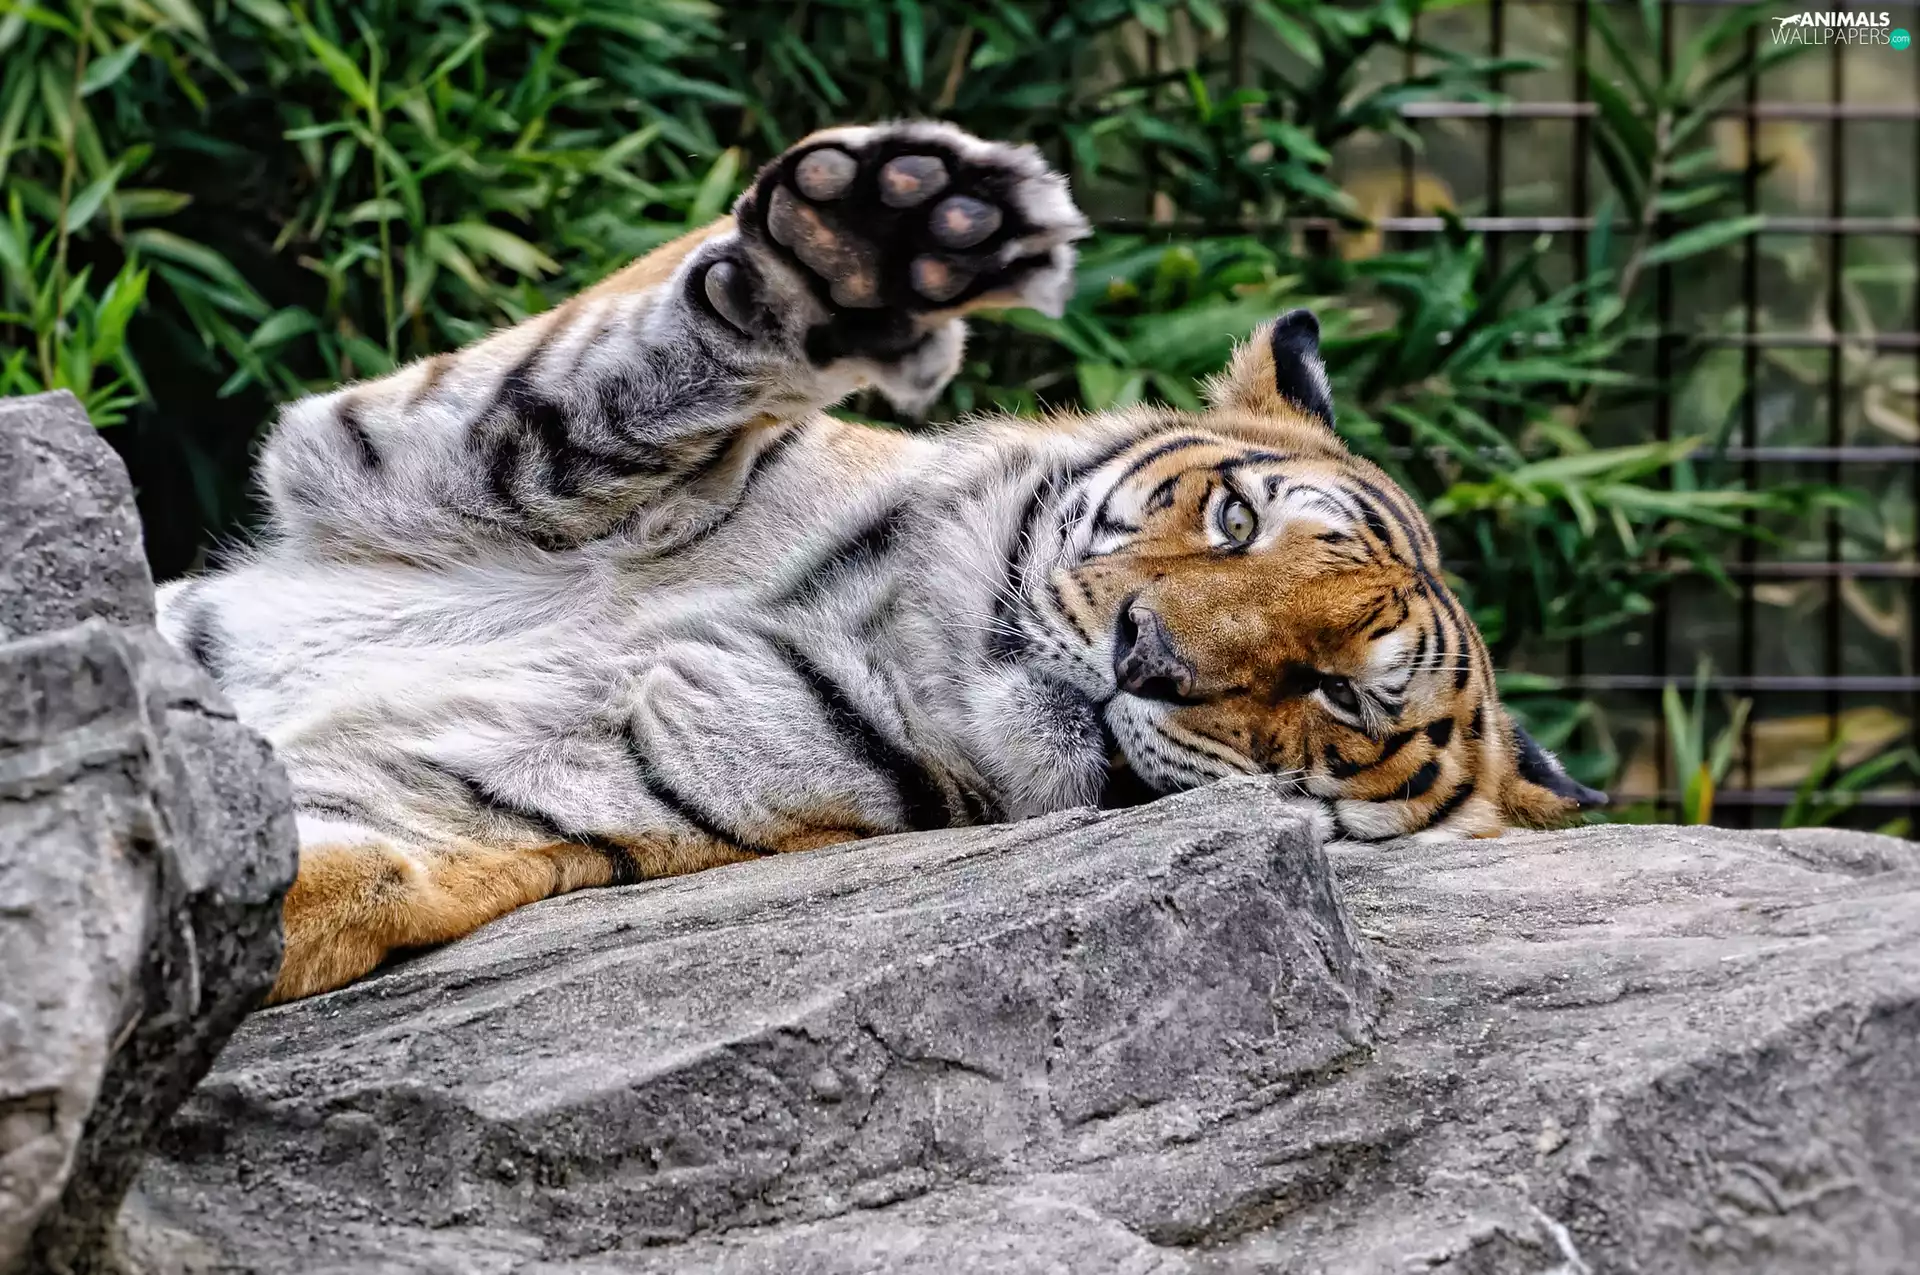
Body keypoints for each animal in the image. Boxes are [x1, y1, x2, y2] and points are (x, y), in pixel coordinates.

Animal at [154, 121, 1604, 1004]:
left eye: (1341, 697)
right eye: (1238, 523)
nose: (1148, 657)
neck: (880, 623)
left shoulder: (493, 800)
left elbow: (313, 876)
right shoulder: (377, 454)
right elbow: (604, 373)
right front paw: (871, 244)